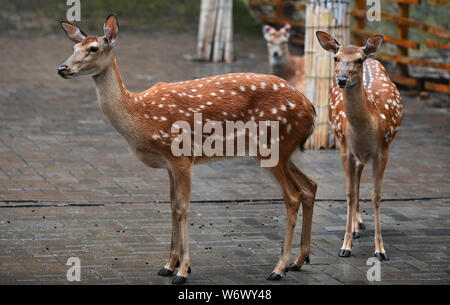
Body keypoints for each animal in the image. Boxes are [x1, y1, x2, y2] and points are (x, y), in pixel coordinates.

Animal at [57, 14, 316, 284]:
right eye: (74, 48)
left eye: (93, 48)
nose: (62, 68)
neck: (139, 114)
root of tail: (311, 107)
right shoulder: (168, 164)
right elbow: (172, 206)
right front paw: (169, 265)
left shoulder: (181, 155)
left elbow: (182, 208)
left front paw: (182, 271)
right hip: (281, 150)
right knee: (309, 186)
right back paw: (299, 261)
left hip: (271, 145)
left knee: (293, 196)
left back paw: (279, 268)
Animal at [316, 30, 404, 260]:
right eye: (336, 58)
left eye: (358, 60)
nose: (342, 80)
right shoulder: (345, 149)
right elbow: (349, 193)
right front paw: (345, 246)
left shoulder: (383, 150)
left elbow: (376, 196)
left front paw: (380, 250)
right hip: (351, 150)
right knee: (355, 183)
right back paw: (356, 227)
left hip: (366, 155)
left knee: (359, 179)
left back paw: (359, 224)